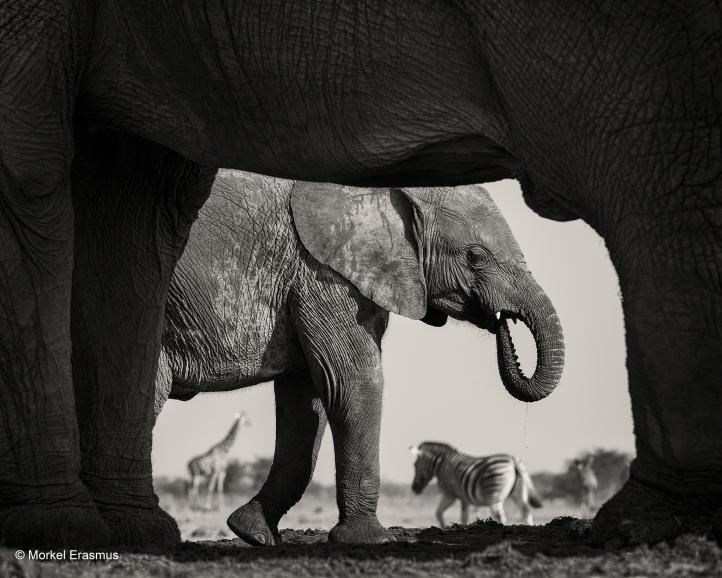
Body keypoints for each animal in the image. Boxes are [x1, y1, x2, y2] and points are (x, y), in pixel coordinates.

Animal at [410, 438, 540, 524]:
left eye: (415, 465)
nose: (414, 489)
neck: (441, 463)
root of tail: (513, 460)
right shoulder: (460, 496)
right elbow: (440, 513)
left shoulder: (451, 494)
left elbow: (454, 516)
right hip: (518, 492)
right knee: (526, 511)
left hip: (493, 493)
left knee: (500, 516)